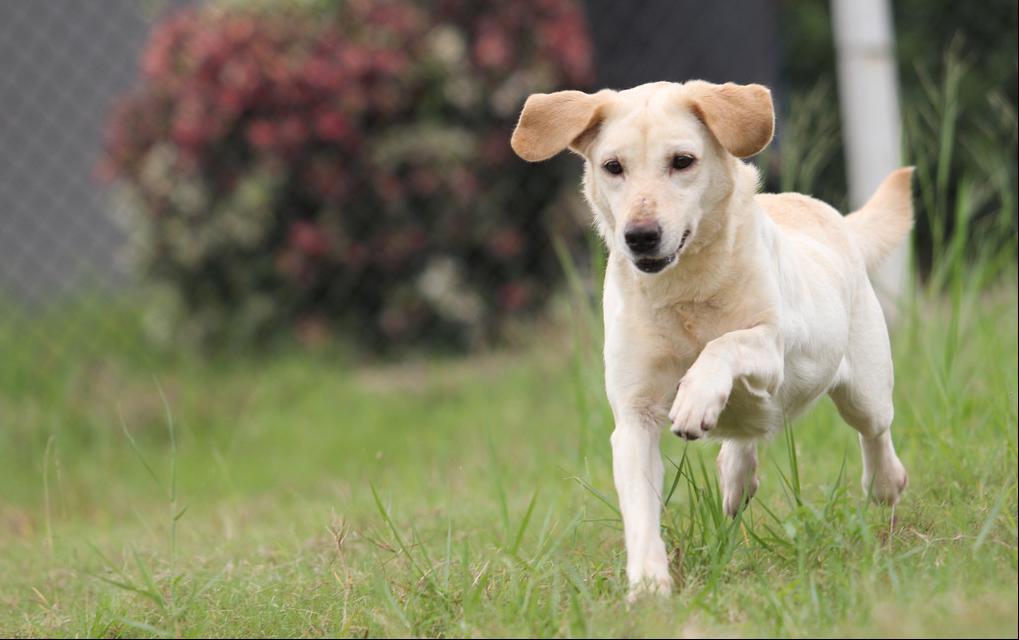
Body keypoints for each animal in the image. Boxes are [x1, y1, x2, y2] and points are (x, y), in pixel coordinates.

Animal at [513, 80, 913, 599]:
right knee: (748, 435)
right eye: (613, 167)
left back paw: (885, 482)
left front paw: (695, 396)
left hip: (865, 389)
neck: (685, 292)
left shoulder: (771, 350)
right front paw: (649, 586)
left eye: (682, 161)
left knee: (874, 432)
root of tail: (834, 218)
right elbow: (639, 508)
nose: (640, 236)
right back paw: (736, 478)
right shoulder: (635, 417)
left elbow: (724, 345)